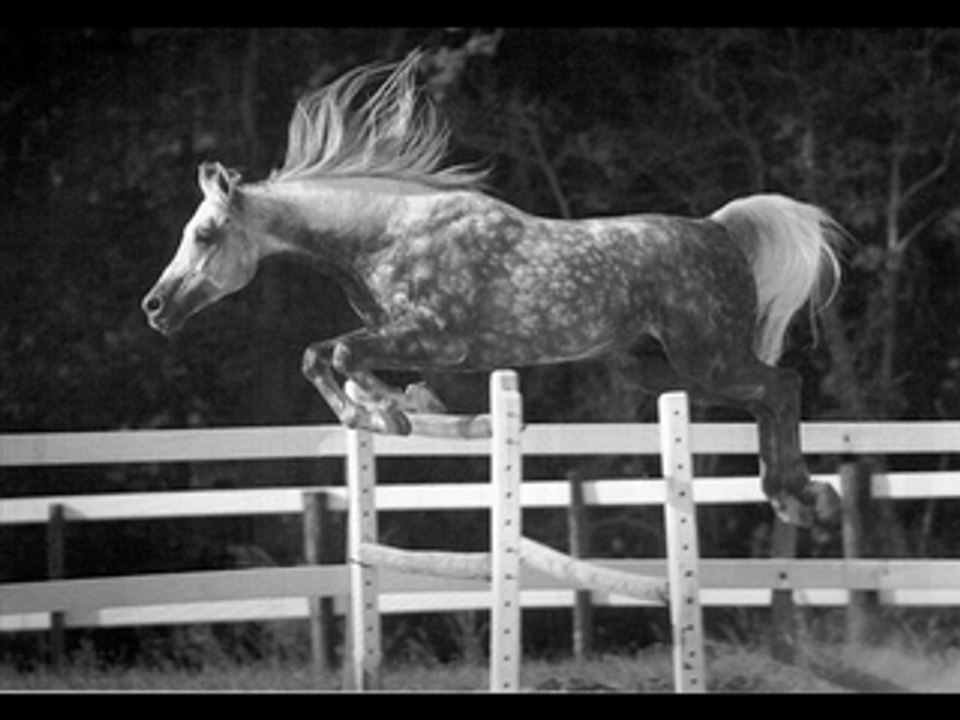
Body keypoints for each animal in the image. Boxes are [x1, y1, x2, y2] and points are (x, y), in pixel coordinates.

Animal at [142, 51, 845, 528]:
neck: (385, 233)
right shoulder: (407, 338)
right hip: (659, 369)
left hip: (709, 357)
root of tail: (718, 230)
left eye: (204, 233)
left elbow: (335, 353)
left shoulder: (436, 340)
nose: (155, 306)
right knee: (766, 397)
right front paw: (394, 407)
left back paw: (803, 496)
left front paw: (389, 411)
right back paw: (799, 496)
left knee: (782, 385)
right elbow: (325, 355)